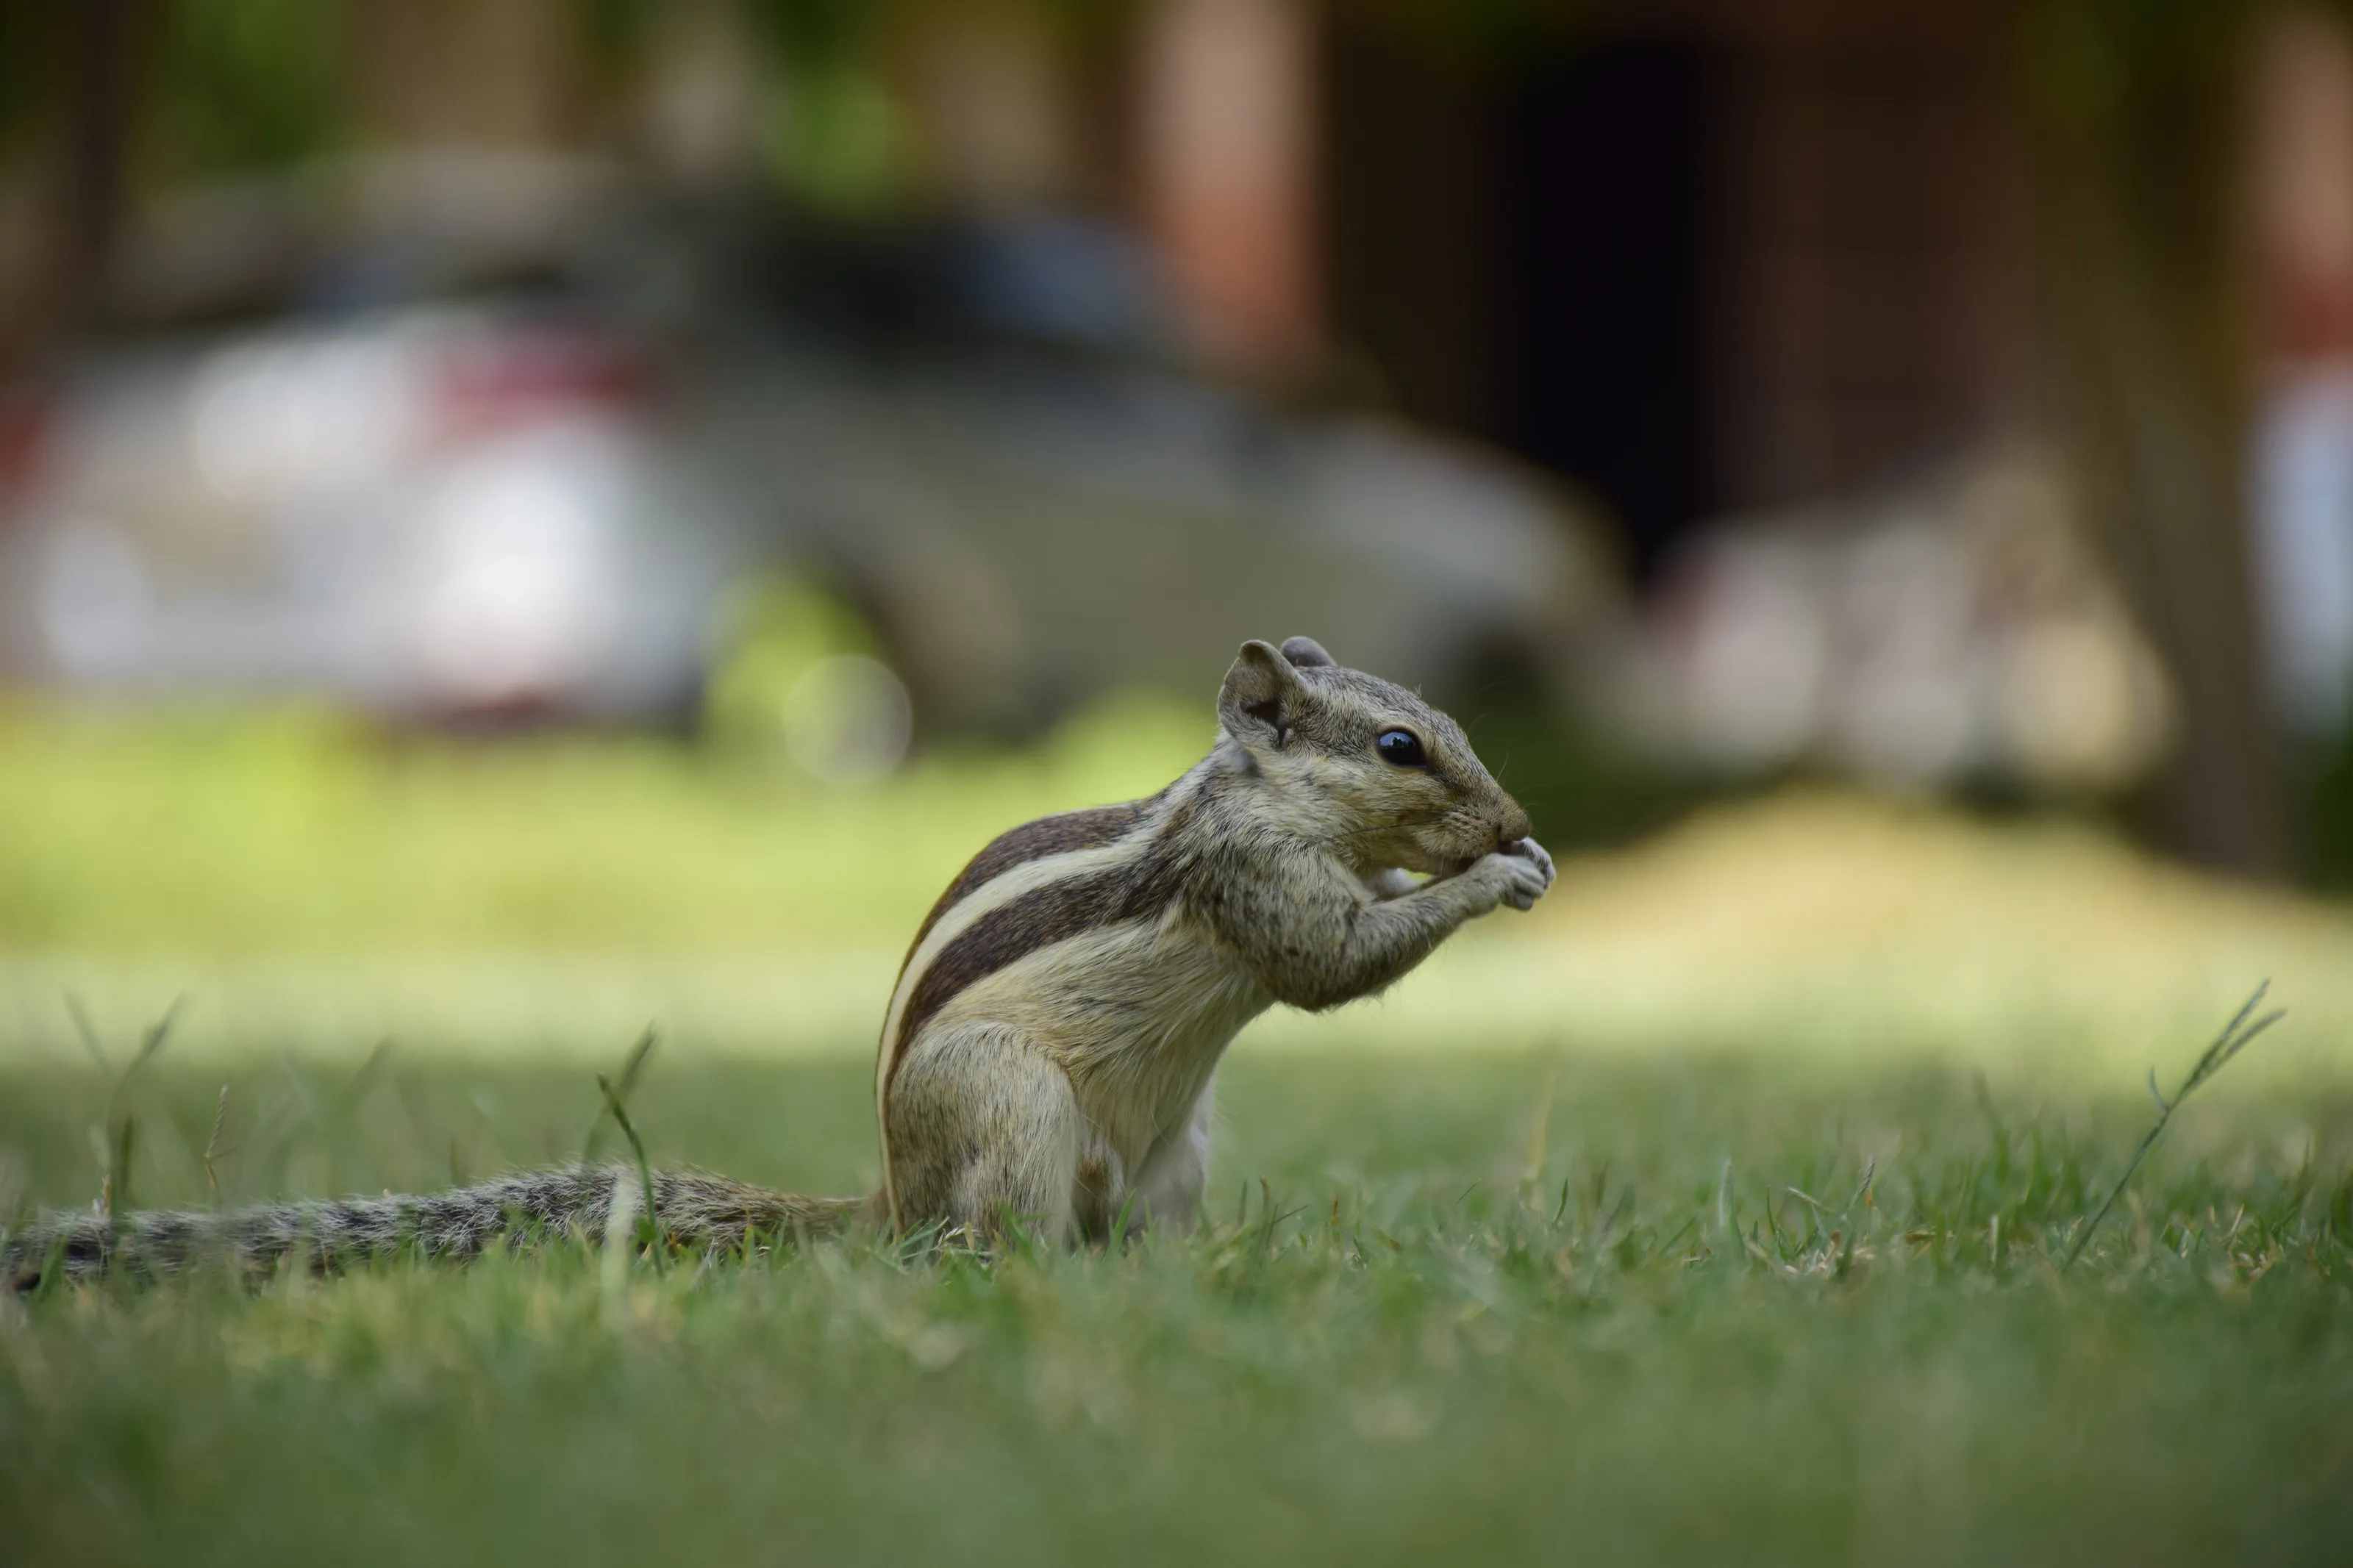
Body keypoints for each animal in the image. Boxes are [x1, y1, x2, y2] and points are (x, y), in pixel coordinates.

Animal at [4, 637, 1553, 1286]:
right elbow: (1333, 960)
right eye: (1400, 745)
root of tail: (889, 1195)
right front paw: (1492, 878)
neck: (1253, 793)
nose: (1515, 816)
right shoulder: (1258, 883)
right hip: (1011, 1104)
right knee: (986, 1242)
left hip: (1179, 1153)